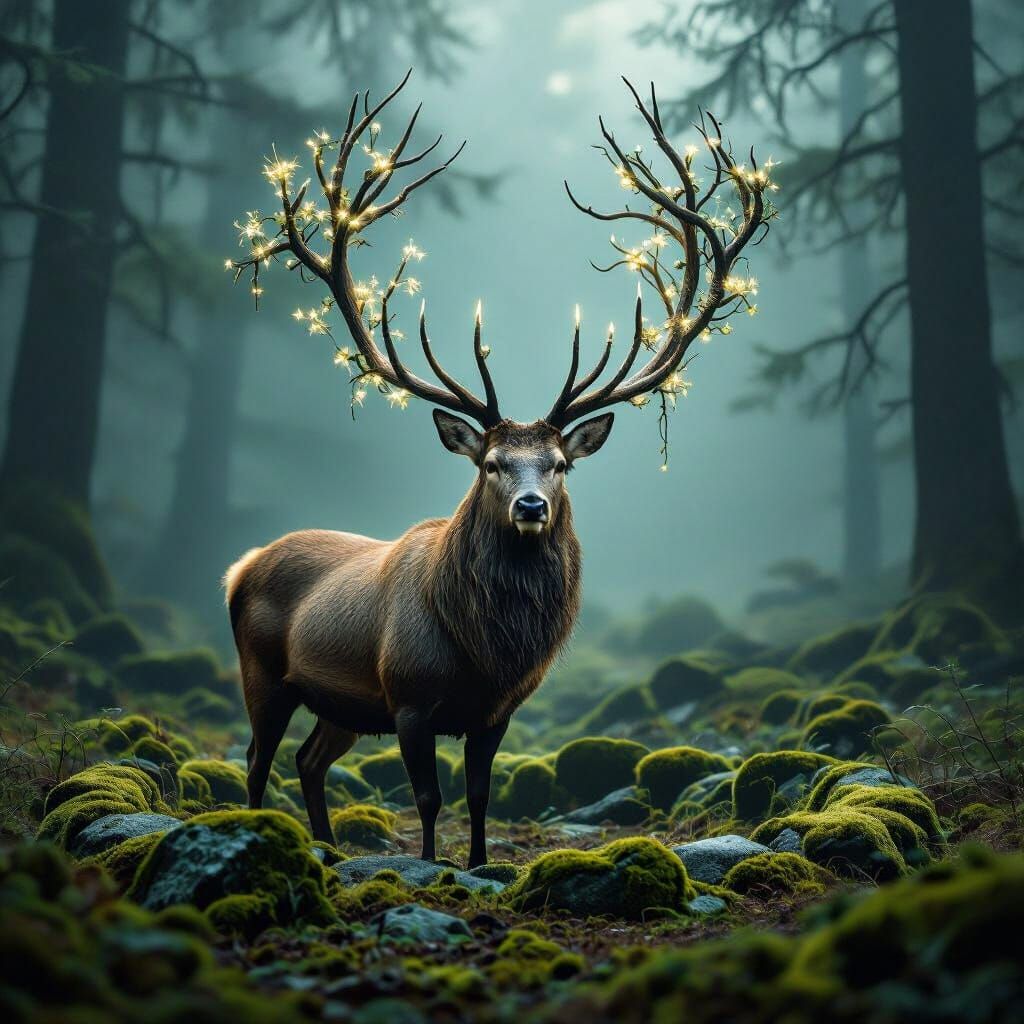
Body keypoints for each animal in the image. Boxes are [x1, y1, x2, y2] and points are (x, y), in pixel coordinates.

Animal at [225, 72, 773, 867]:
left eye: (559, 464)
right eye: (490, 463)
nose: (531, 507)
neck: (486, 653)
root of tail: (239, 566)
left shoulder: (496, 712)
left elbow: (480, 796)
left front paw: (481, 864)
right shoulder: (410, 698)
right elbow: (429, 799)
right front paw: (430, 864)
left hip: (345, 705)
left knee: (308, 759)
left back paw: (328, 849)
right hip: (264, 671)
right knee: (257, 757)